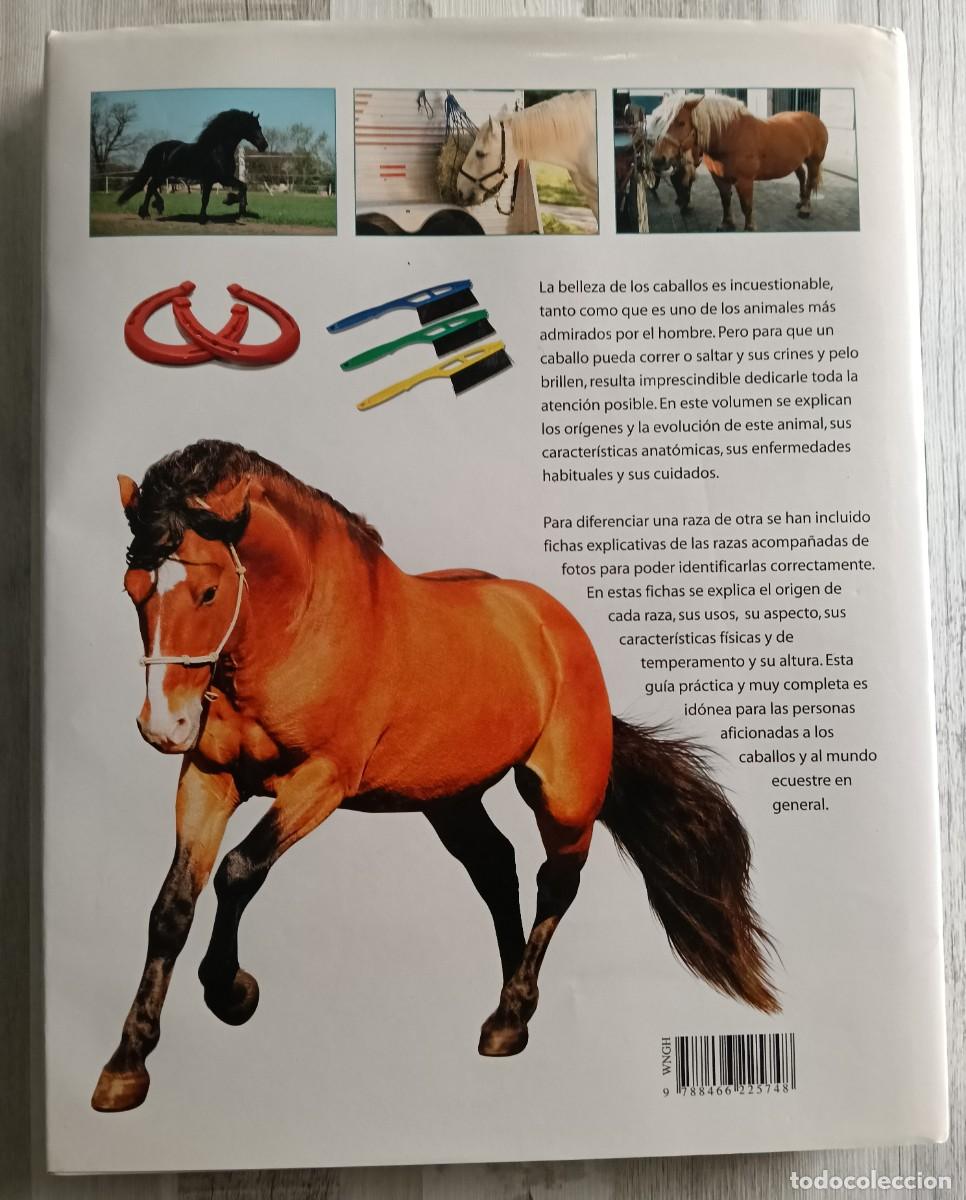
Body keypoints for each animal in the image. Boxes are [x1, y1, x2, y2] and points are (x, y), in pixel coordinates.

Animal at [91, 439, 777, 1113]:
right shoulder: (208, 776)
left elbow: (238, 871)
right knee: (497, 868)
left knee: (555, 882)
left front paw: (232, 992)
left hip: (563, 795)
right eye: (132, 588)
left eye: (208, 592)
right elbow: (172, 906)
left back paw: (510, 1017)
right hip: (451, 799)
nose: (163, 726)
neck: (298, 628)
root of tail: (554, 626)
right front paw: (127, 1066)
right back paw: (511, 1002)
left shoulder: (322, 781)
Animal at [116, 110, 268, 225]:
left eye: (259, 127)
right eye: (252, 127)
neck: (217, 150)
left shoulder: (215, 180)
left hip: (161, 175)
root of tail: (155, 149)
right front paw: (229, 203)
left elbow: (238, 188)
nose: (264, 145)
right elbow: (234, 189)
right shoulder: (219, 179)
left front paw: (234, 206)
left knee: (150, 187)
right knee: (151, 187)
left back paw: (148, 211)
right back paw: (153, 209)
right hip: (161, 175)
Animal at [650, 93, 828, 231]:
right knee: (802, 177)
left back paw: (805, 209)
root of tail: (814, 119)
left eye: (681, 122)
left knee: (810, 182)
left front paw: (749, 228)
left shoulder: (745, 181)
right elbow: (725, 201)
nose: (657, 159)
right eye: (658, 121)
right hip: (796, 161)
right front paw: (727, 223)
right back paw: (801, 201)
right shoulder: (719, 178)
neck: (730, 136)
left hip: (813, 161)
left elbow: (746, 206)